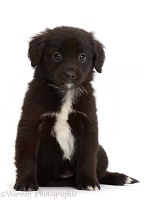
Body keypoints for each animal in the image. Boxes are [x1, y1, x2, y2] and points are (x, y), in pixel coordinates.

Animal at [13, 26, 139, 191]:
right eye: (57, 56)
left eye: (82, 57)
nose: (70, 75)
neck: (67, 93)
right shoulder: (31, 123)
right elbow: (27, 155)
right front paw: (26, 182)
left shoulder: (88, 125)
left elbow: (87, 157)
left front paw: (88, 181)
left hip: (101, 152)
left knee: (101, 172)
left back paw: (120, 178)